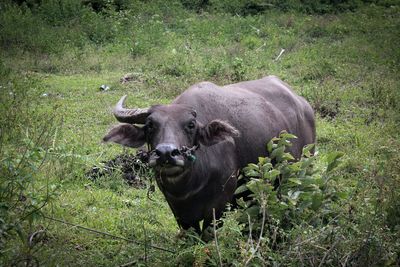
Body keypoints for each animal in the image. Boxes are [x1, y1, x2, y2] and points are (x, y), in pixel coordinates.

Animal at [103, 75, 316, 234]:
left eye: (190, 125)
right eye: (150, 125)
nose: (166, 153)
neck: (188, 186)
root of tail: (305, 107)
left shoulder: (219, 205)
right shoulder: (177, 209)